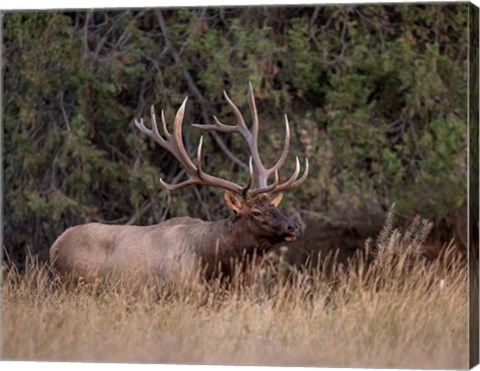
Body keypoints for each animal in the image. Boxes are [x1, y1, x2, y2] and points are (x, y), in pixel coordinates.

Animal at [50, 84, 310, 286]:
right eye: (255, 212)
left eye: (275, 207)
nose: (294, 226)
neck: (215, 264)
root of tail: (55, 246)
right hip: (75, 284)